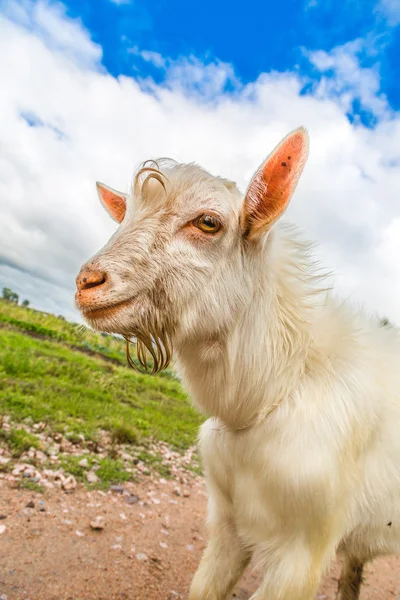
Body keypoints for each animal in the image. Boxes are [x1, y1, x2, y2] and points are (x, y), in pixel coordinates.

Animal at [75, 127, 400, 600]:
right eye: (124, 217)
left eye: (208, 222)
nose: (87, 283)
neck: (275, 391)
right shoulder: (228, 524)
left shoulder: (302, 552)